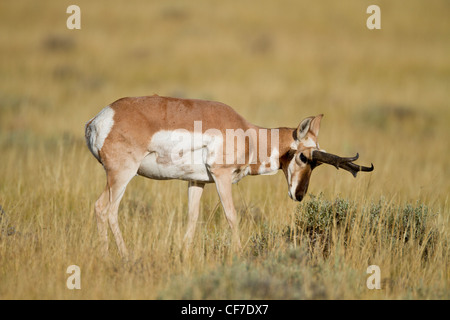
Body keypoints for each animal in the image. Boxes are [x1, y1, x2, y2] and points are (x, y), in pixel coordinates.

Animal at [84, 95, 372, 258]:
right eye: (303, 157)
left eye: (317, 163)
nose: (299, 195)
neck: (247, 133)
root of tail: (99, 120)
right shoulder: (221, 178)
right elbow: (232, 216)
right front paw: (240, 254)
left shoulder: (197, 182)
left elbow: (192, 217)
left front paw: (184, 254)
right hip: (122, 175)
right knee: (106, 209)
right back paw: (123, 257)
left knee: (101, 208)